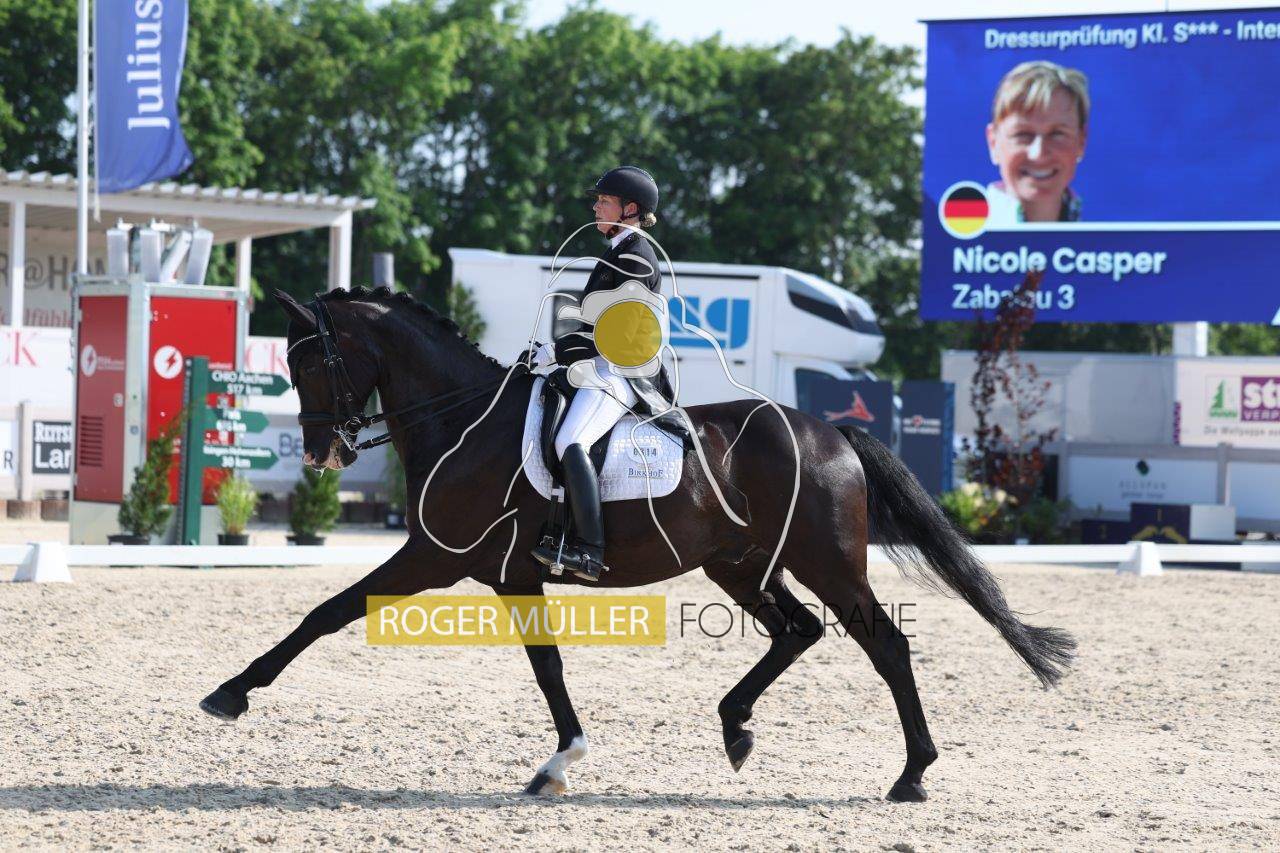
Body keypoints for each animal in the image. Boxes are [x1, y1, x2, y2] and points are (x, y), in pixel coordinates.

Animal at [199, 286, 1075, 802]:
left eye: (312, 361)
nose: (324, 453)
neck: (462, 418)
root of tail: (833, 432)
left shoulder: (435, 556)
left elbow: (325, 612)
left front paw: (231, 691)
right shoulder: (507, 574)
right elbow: (547, 665)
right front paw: (559, 762)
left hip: (826, 560)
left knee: (883, 642)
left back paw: (913, 773)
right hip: (738, 565)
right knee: (798, 630)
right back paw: (736, 727)